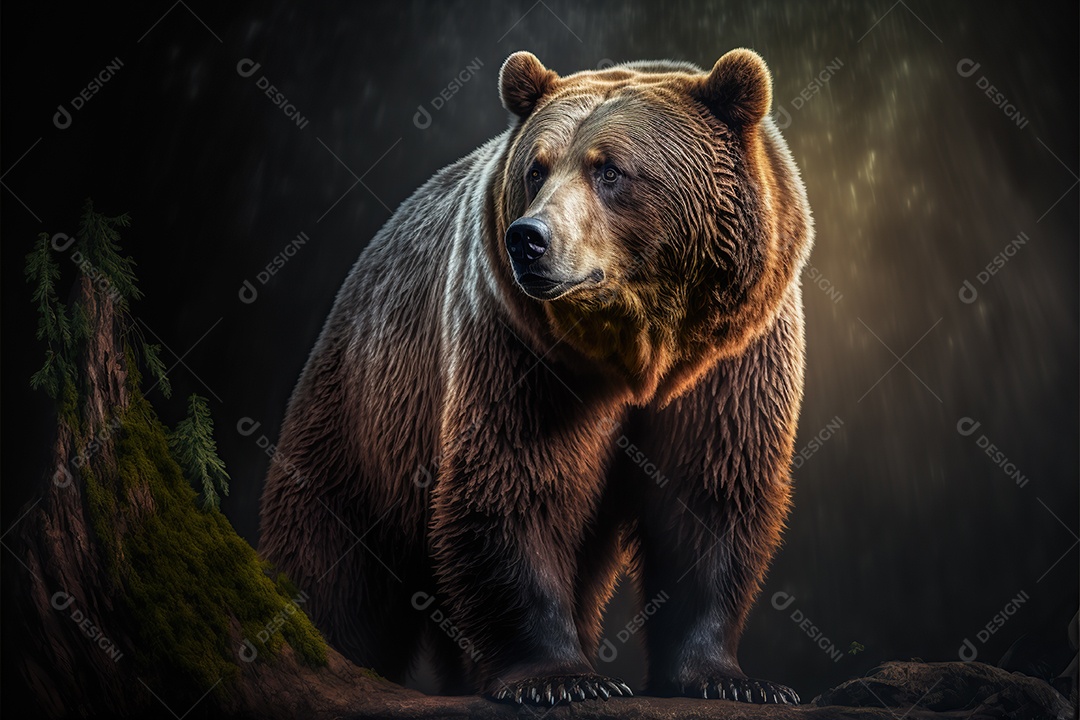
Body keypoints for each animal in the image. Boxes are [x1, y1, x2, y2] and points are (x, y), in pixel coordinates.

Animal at [258, 48, 813, 706]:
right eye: (536, 169)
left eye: (610, 170)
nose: (528, 239)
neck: (641, 350)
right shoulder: (521, 352)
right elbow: (515, 486)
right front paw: (561, 679)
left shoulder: (732, 359)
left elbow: (710, 496)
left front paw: (729, 679)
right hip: (363, 423)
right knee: (333, 564)